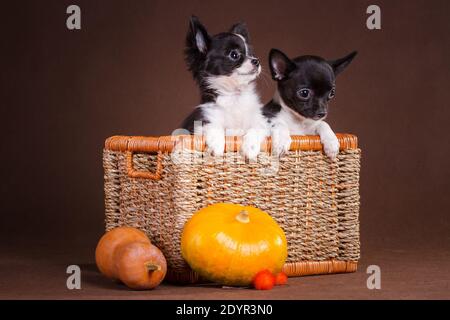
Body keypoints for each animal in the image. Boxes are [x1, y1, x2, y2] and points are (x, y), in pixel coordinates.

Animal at [182, 16, 268, 159]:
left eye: (251, 54)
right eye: (234, 55)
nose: (256, 60)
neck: (234, 95)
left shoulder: (260, 121)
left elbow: (256, 128)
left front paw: (250, 148)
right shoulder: (205, 119)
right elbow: (214, 127)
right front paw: (217, 146)